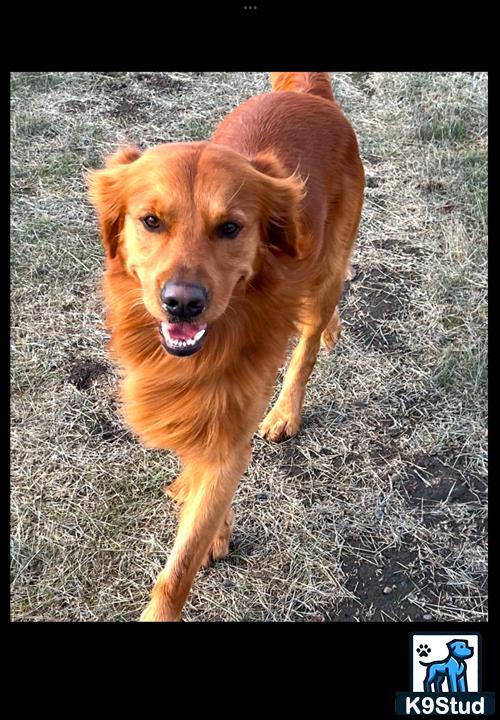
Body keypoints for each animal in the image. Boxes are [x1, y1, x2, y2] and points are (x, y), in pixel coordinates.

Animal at [89, 74, 364, 624]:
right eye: (151, 221)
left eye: (231, 228)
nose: (182, 304)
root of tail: (309, 95)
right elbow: (199, 476)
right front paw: (214, 522)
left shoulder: (232, 422)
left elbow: (179, 567)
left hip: (326, 266)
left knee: (307, 344)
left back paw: (287, 408)